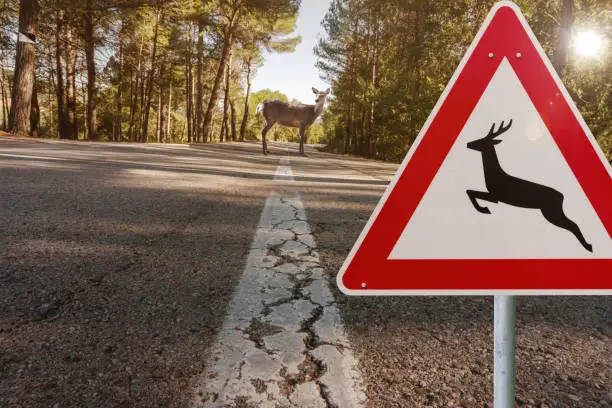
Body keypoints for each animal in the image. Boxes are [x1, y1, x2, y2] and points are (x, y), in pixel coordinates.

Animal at [466, 119, 592, 252]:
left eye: (482, 141)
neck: (494, 174)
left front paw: (484, 209)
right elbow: (470, 191)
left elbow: (470, 192)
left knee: (573, 224)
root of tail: (562, 196)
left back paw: (588, 246)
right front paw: (484, 208)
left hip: (551, 212)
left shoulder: (496, 196)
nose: (468, 143)